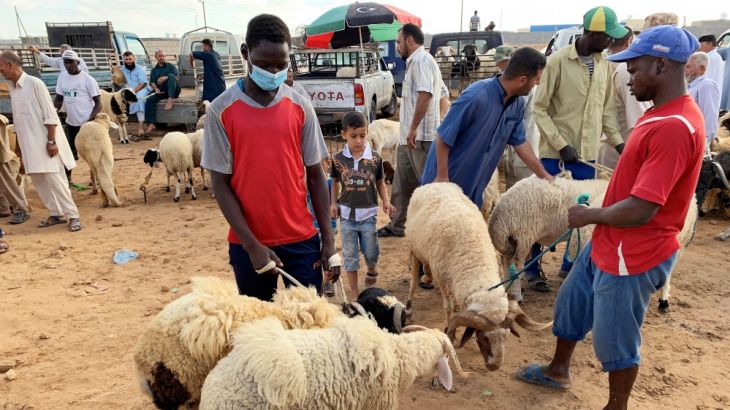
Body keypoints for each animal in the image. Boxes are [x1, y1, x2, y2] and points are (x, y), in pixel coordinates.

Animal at [405, 183, 551, 371]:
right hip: (414, 248)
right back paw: (410, 305)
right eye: (484, 336)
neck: (474, 258)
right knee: (414, 280)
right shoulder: (442, 279)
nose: (494, 366)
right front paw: (450, 333)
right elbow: (448, 308)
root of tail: (436, 184)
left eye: (506, 335)